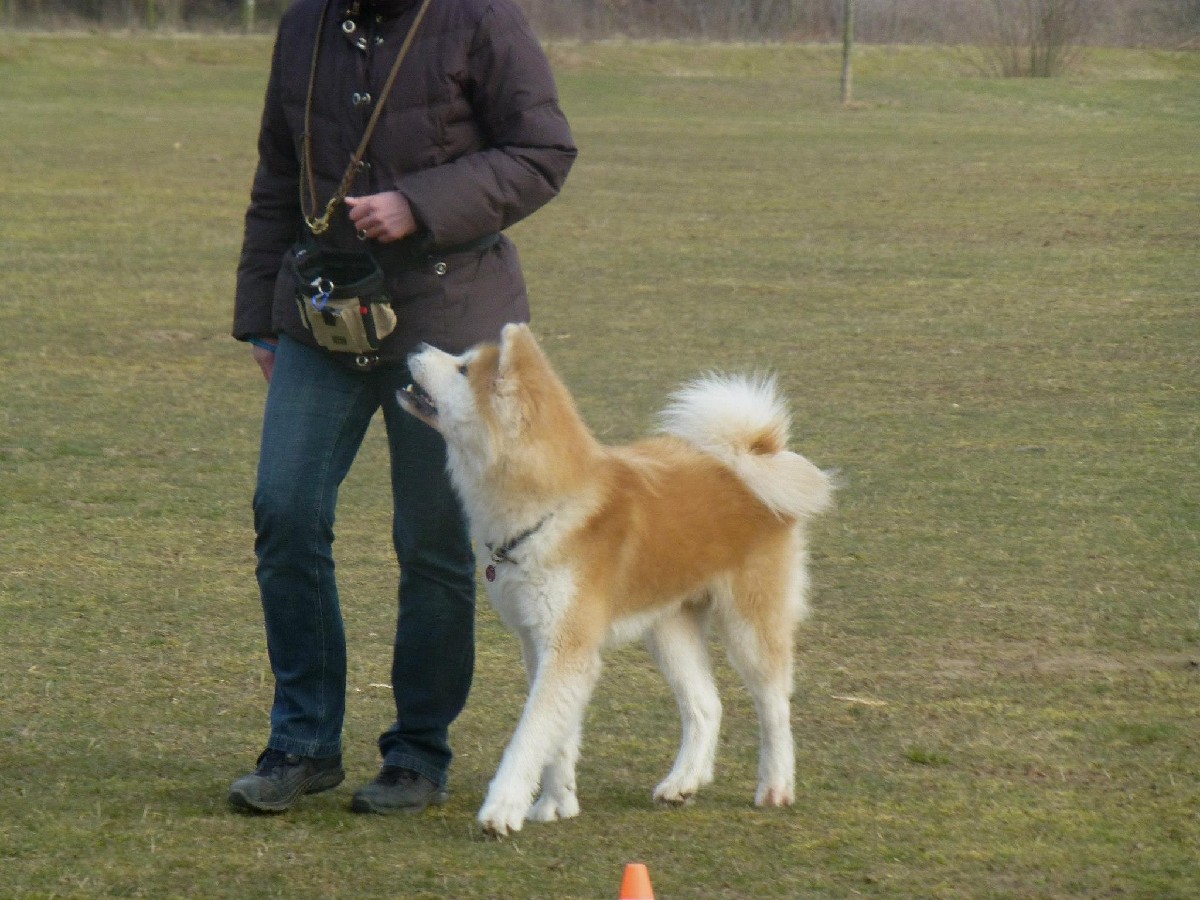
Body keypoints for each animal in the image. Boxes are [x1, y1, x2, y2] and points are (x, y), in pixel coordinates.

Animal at [397, 323, 833, 836]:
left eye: (463, 368)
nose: (415, 345)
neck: (551, 507)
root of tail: (751, 460)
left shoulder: (568, 647)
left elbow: (530, 736)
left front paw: (502, 808)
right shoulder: (542, 643)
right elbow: (558, 736)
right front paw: (557, 802)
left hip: (749, 625)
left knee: (775, 708)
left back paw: (776, 785)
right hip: (669, 628)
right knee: (707, 706)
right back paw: (682, 782)